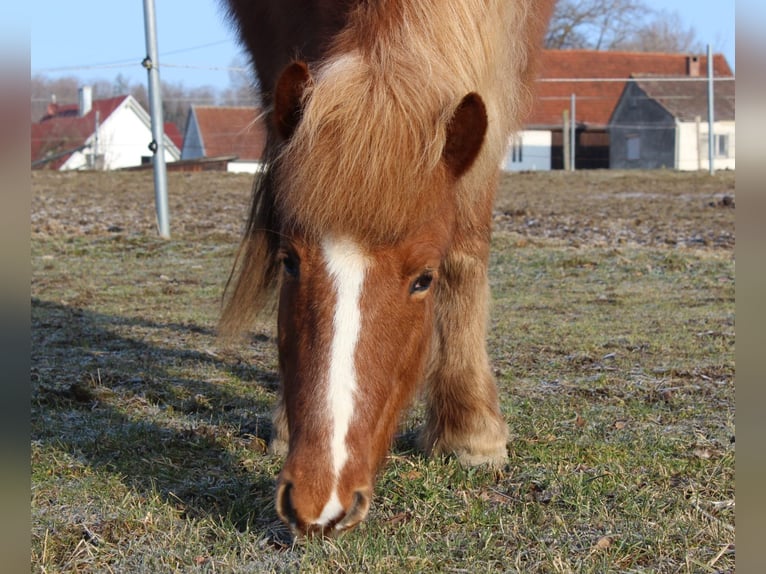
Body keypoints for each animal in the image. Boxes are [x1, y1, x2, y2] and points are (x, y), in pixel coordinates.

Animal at [220, 0, 554, 536]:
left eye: (424, 279)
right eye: (289, 261)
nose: (322, 500)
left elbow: (467, 245)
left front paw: (471, 432)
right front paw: (286, 423)